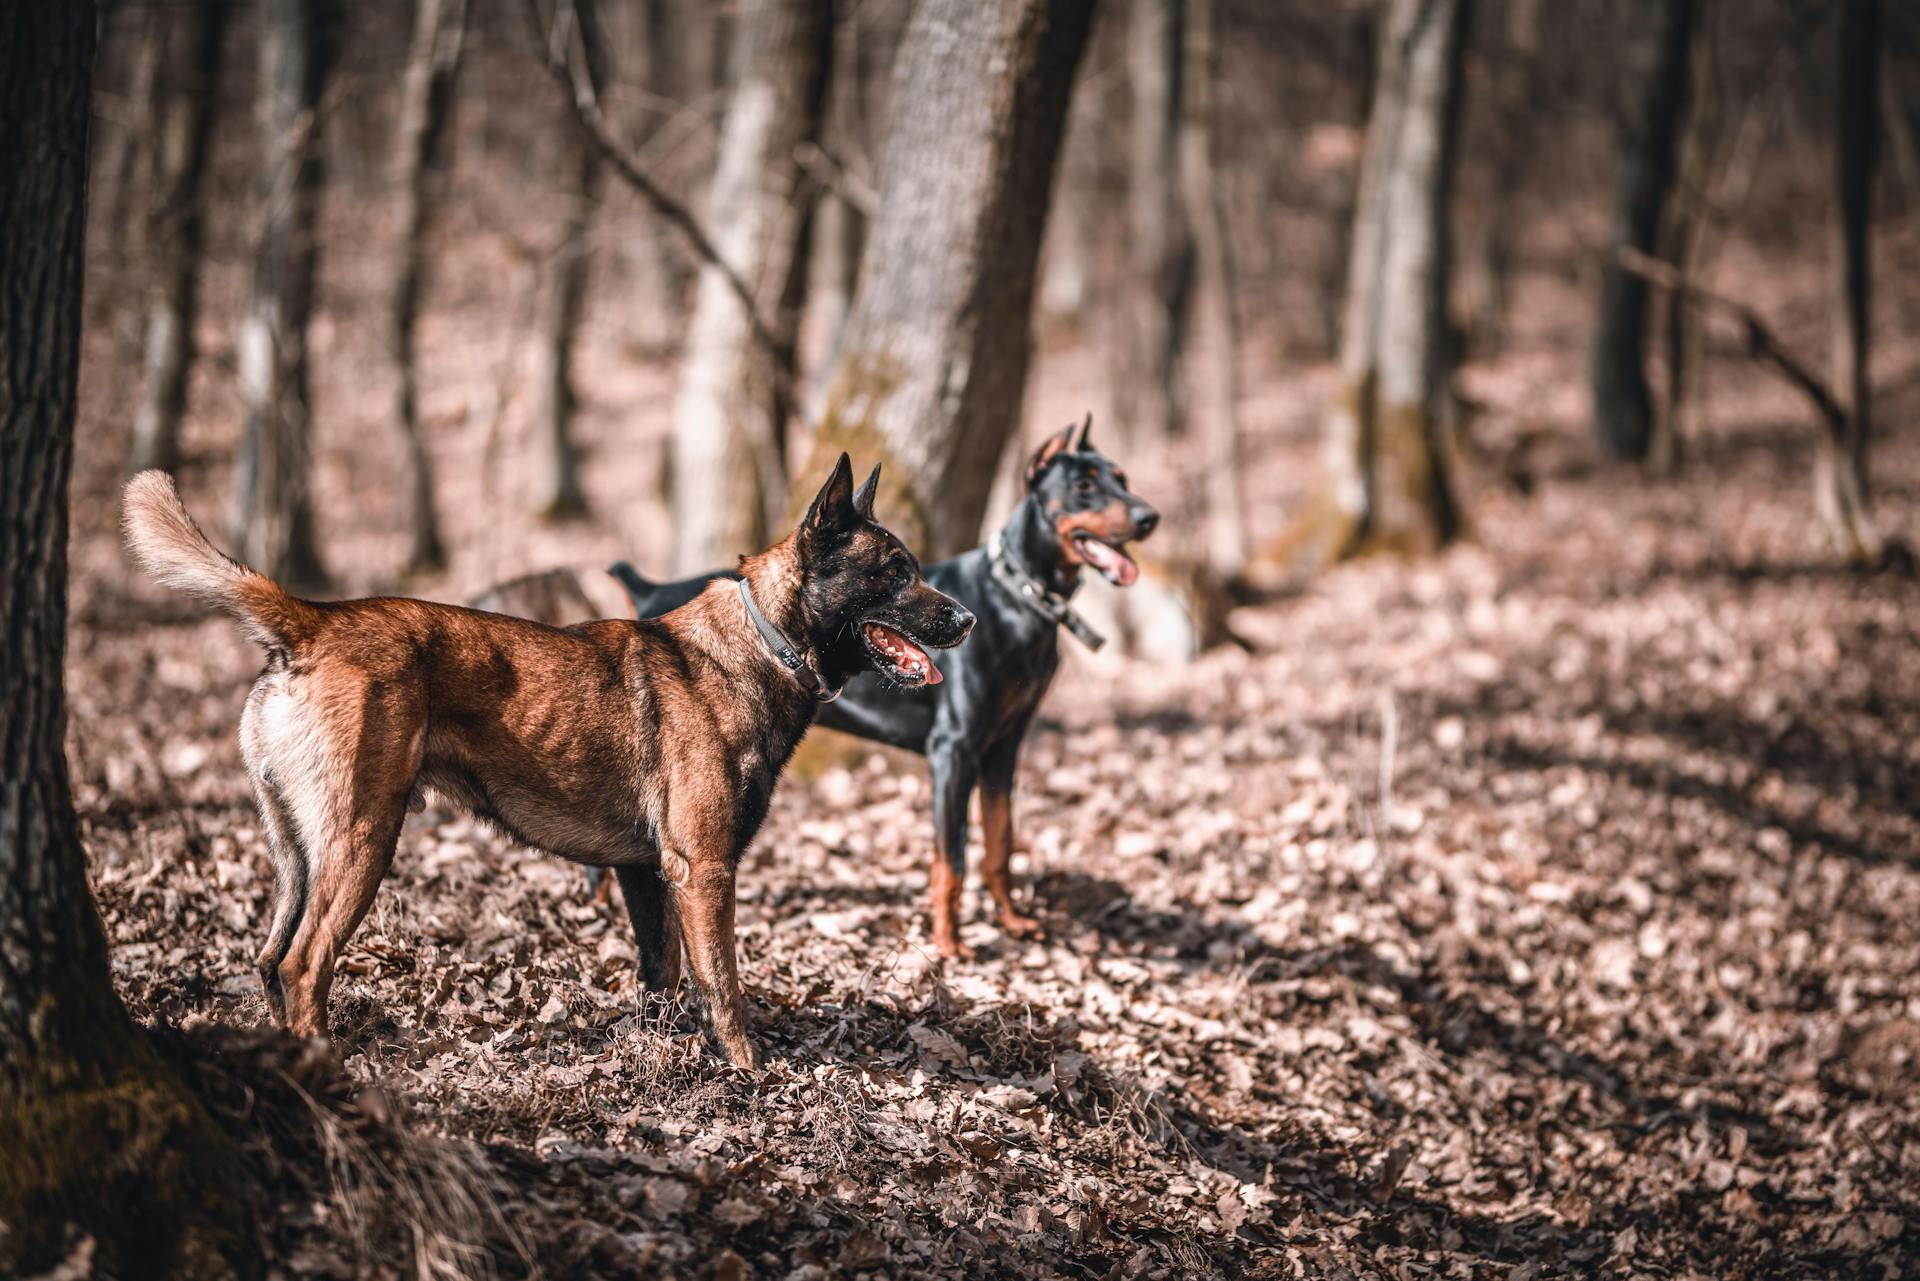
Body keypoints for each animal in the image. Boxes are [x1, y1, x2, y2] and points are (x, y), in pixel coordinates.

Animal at [121, 455, 967, 1067]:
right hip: (363, 839)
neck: (761, 643)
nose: (966, 618)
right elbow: (724, 983)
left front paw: (657, 1053)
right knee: (303, 962)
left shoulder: (645, 872)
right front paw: (747, 1067)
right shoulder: (704, 869)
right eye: (896, 571)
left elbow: (661, 973)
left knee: (270, 958)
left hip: (298, 849)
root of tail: (315, 620)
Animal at [599, 420, 1152, 960]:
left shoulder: (1003, 747)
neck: (1019, 598)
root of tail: (649, 591)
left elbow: (1000, 842)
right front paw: (950, 945)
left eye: (1122, 479)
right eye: (1083, 486)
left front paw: (1012, 921)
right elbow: (952, 861)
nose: (1150, 517)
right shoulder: (953, 750)